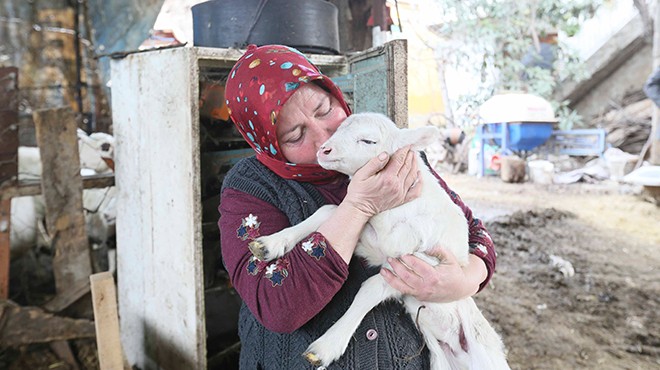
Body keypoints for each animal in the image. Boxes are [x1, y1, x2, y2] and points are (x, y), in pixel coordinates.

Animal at [249, 113, 510, 370]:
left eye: (368, 141)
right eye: (337, 128)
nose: (324, 150)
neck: (397, 209)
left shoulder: (418, 263)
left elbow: (371, 288)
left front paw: (326, 346)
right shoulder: (374, 243)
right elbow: (328, 211)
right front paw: (269, 244)